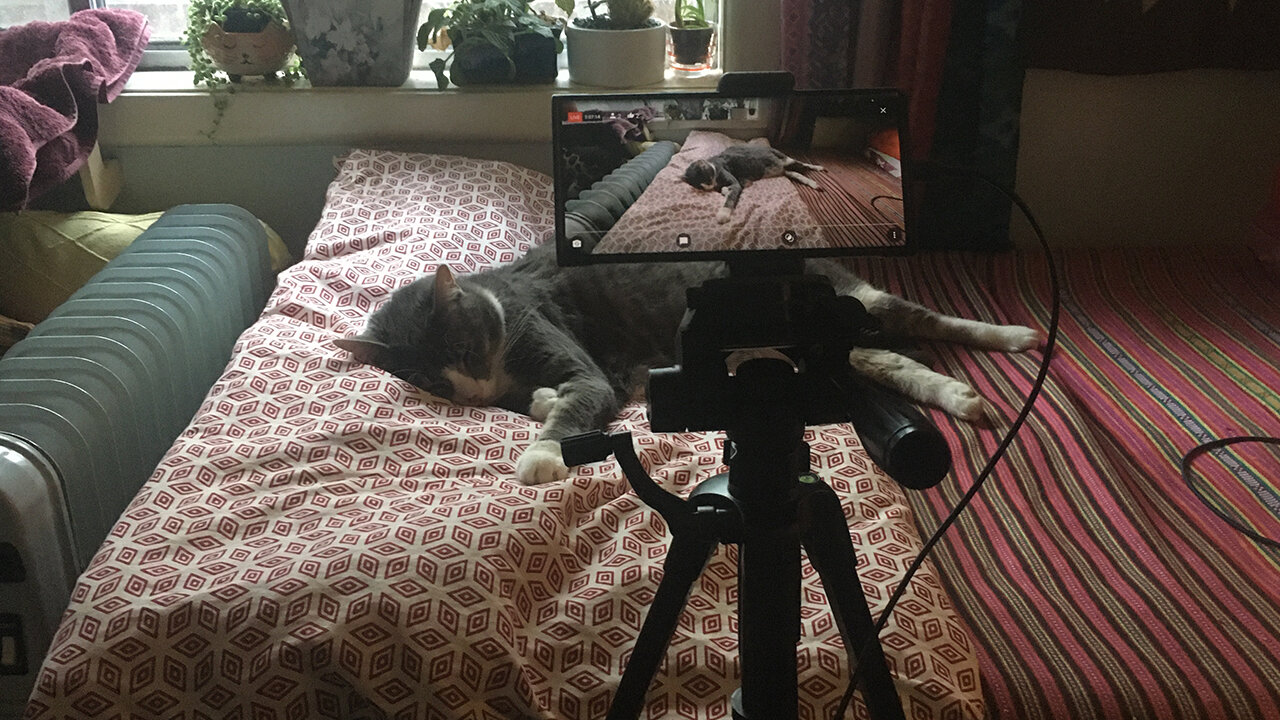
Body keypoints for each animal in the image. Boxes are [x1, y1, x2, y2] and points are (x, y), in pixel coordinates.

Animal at [337, 243, 1039, 484]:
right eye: (432, 382)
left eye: (460, 351)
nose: (467, 390)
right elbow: (543, 399)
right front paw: (532, 404)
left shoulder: (578, 361)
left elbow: (574, 402)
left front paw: (539, 455)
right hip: (806, 348)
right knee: (890, 361)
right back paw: (962, 397)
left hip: (856, 302)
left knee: (926, 321)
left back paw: (1016, 337)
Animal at [686, 144, 824, 222]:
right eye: (702, 186)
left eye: (708, 178)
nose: (712, 186)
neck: (714, 165)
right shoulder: (744, 181)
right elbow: (730, 188)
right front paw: (724, 190)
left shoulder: (734, 181)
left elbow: (731, 196)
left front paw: (723, 214)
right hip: (785, 170)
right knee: (797, 174)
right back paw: (813, 183)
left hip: (788, 160)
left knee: (804, 164)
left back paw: (818, 168)